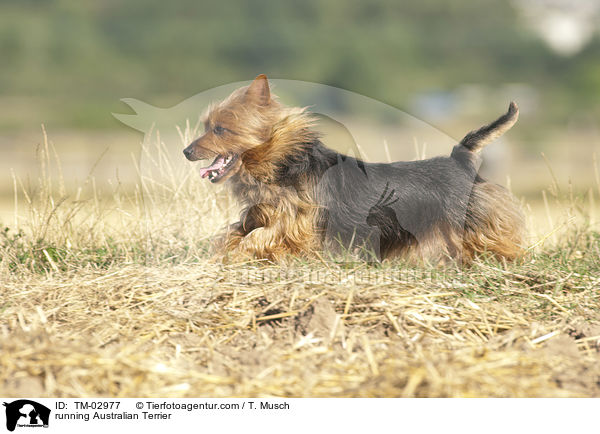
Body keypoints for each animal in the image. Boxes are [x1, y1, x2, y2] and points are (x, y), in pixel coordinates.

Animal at [184, 74, 524, 262]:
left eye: (220, 129)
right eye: (207, 126)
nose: (186, 151)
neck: (281, 161)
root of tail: (459, 158)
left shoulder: (297, 225)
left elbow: (260, 238)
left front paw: (240, 255)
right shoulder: (258, 216)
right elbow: (234, 233)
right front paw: (224, 254)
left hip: (471, 220)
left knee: (494, 240)